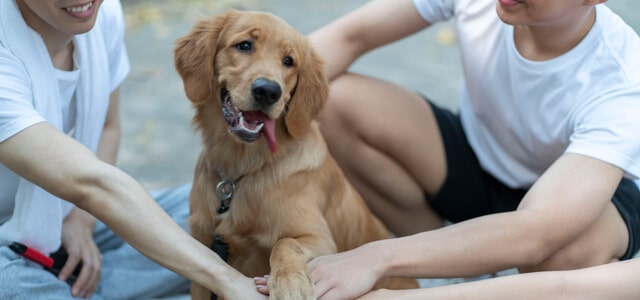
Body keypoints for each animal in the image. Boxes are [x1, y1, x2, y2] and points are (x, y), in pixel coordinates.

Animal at [174, 9, 420, 300]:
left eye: (289, 61)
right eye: (244, 45)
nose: (268, 91)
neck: (242, 170)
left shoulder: (320, 239)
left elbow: (285, 241)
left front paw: (289, 282)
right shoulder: (203, 252)